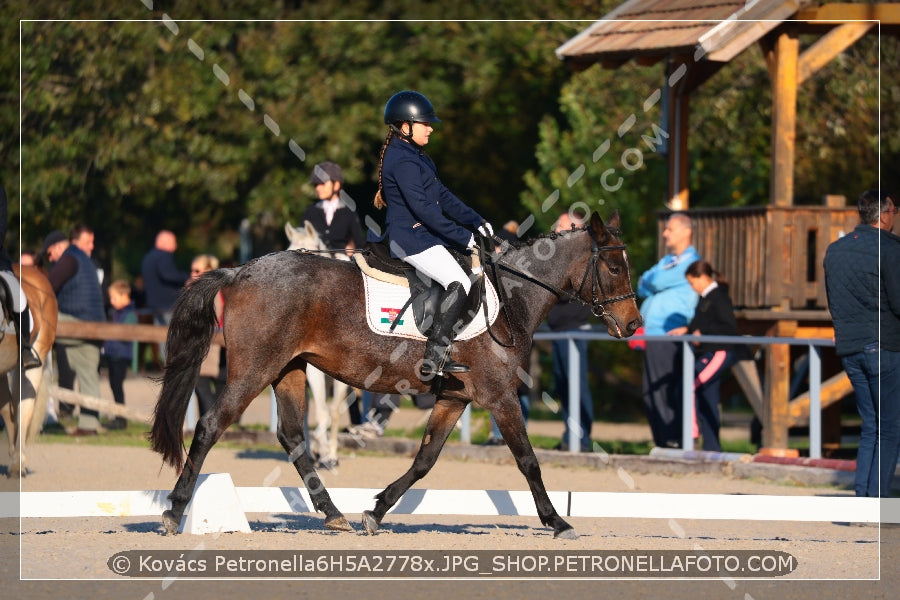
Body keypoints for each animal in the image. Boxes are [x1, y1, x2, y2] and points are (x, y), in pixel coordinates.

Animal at [149, 212, 640, 540]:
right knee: (210, 425)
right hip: (255, 368)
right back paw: (174, 512)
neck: (510, 298)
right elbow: (528, 461)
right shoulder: (500, 397)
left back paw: (334, 514)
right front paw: (557, 521)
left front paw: (377, 510)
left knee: (292, 437)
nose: (633, 325)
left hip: (288, 368)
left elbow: (424, 460)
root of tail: (242, 270)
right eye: (615, 267)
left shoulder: (454, 398)